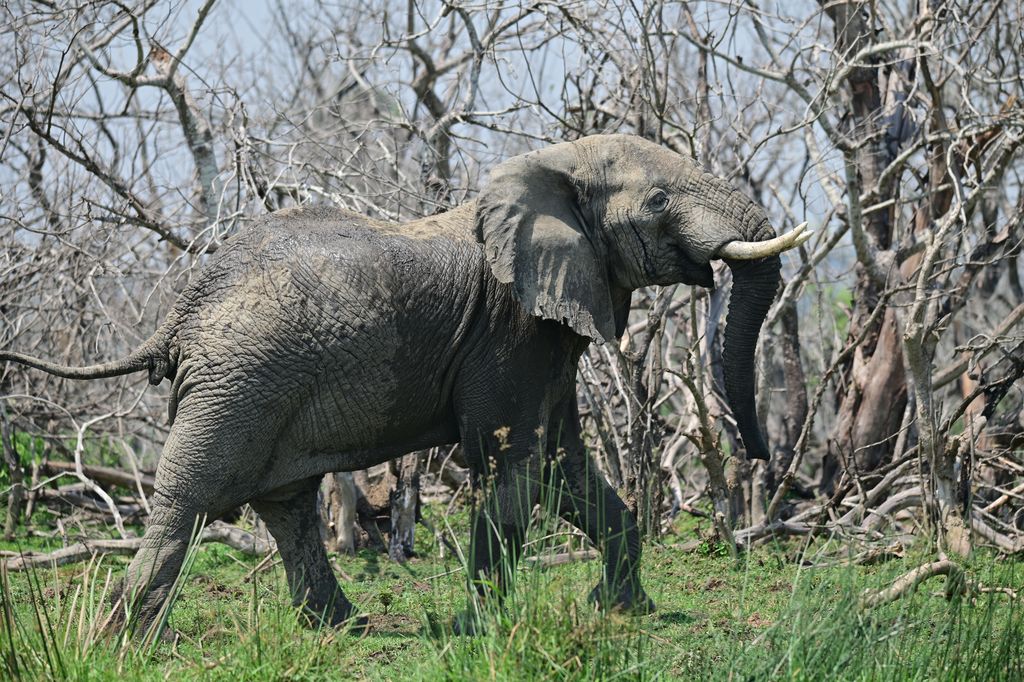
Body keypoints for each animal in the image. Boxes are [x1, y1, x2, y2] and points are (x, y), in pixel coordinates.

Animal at [0, 133, 806, 630]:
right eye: (661, 201)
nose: (764, 456)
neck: (552, 165)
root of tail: (182, 309)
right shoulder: (508, 328)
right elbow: (510, 464)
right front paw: (477, 629)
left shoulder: (547, 334)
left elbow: (562, 465)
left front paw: (620, 611)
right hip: (240, 379)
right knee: (192, 496)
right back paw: (123, 640)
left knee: (285, 504)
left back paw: (344, 629)